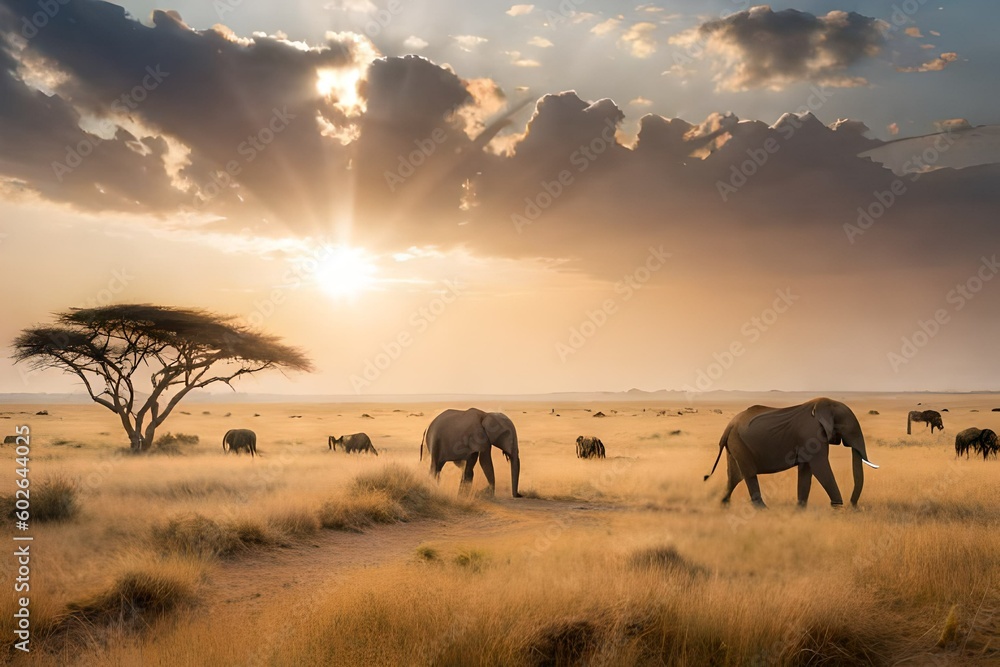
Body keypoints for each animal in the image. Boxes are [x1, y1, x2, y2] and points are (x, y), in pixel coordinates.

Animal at [704, 398, 879, 509]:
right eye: (850, 430)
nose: (853, 506)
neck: (825, 404)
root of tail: (729, 426)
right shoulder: (811, 434)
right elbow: (819, 466)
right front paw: (837, 507)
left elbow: (806, 470)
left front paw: (800, 509)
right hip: (740, 443)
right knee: (749, 474)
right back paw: (763, 510)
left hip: (735, 443)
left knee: (735, 476)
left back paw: (724, 505)